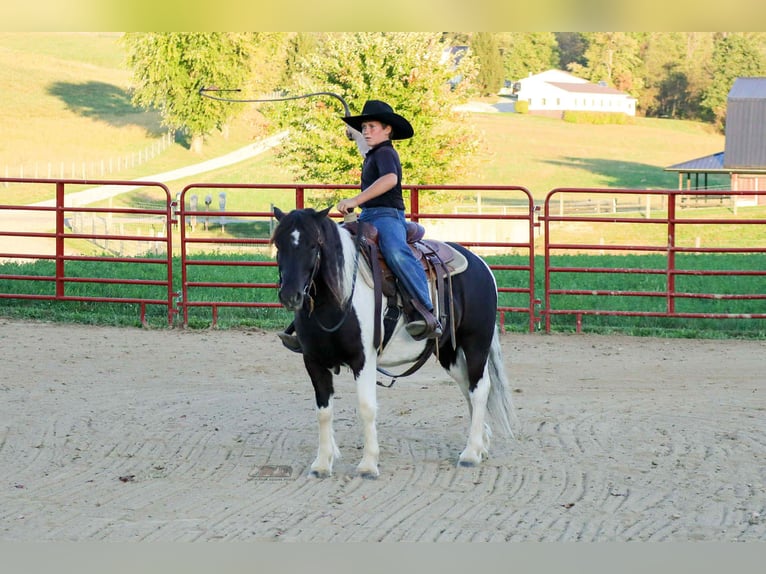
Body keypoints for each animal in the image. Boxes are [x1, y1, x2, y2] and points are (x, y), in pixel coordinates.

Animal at [271, 206, 515, 478]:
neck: (338, 299)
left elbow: (366, 407)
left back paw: (471, 454)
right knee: (467, 386)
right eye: (279, 244)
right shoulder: (313, 361)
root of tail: (481, 264)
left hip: (476, 342)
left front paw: (368, 465)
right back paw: (481, 444)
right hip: (447, 351)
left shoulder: (363, 359)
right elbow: (323, 411)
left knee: (479, 388)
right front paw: (322, 464)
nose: (290, 295)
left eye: (314, 245)